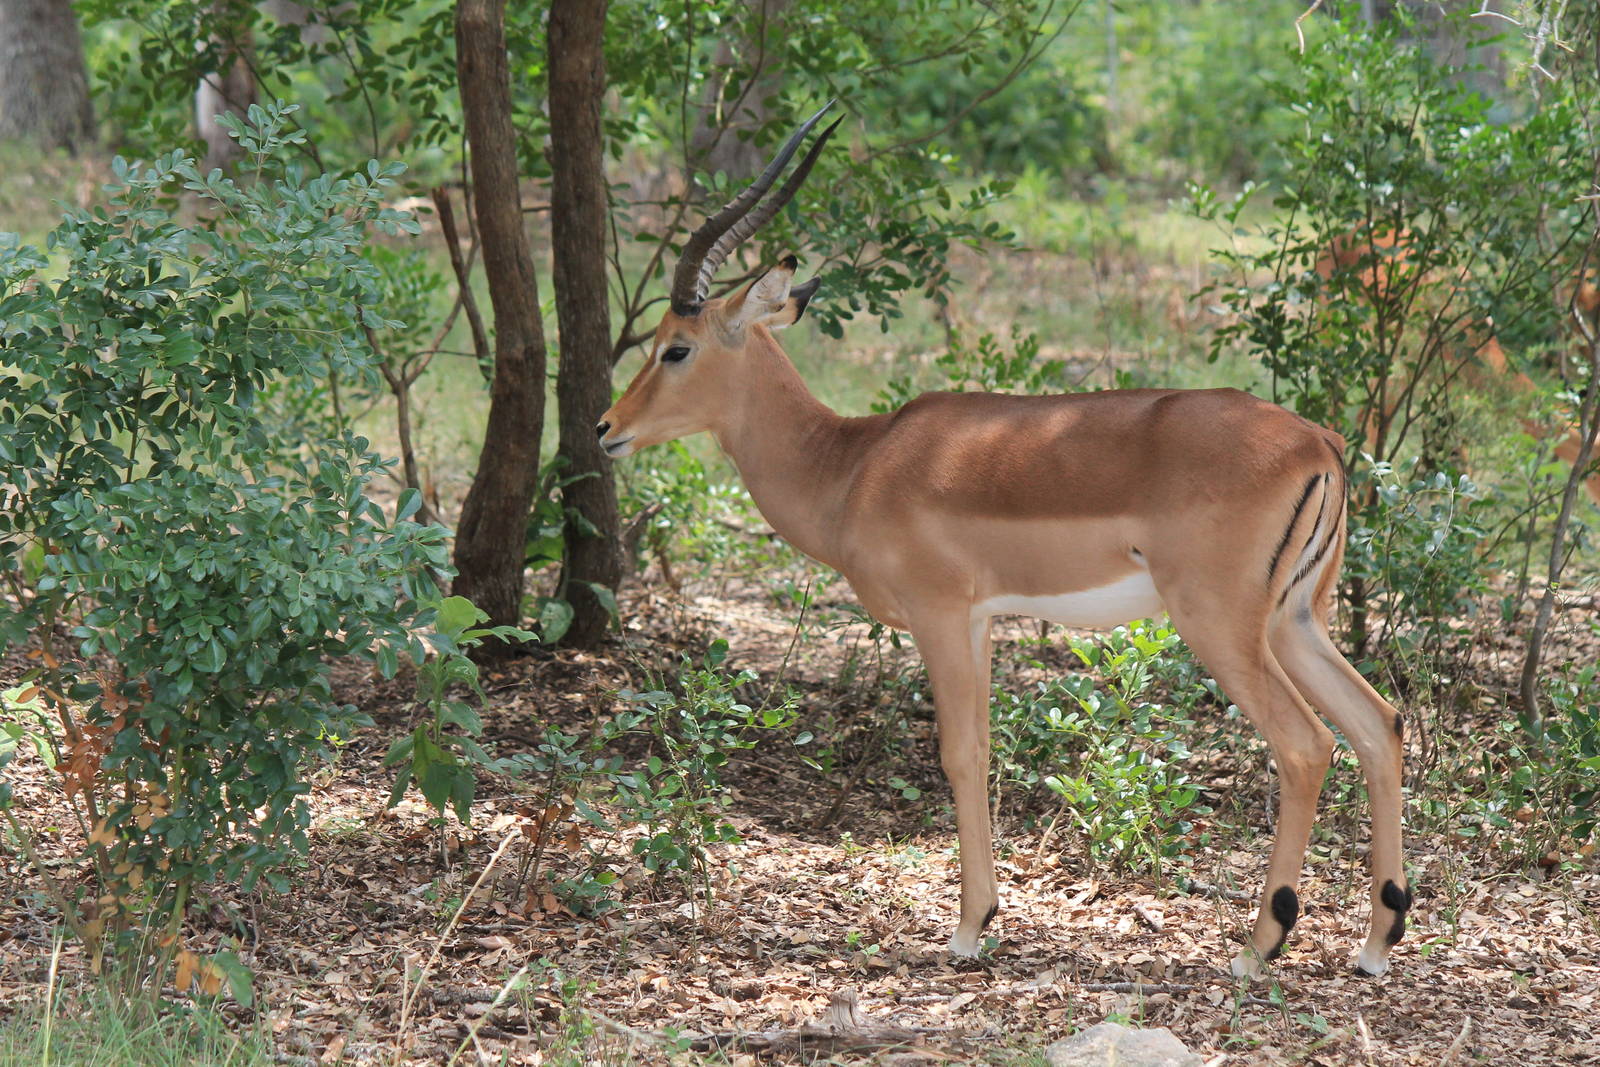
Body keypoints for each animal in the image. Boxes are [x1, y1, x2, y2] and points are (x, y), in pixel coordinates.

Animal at [599, 103, 1412, 978]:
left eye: (676, 346)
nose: (606, 427)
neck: (853, 463)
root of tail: (1317, 442)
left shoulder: (939, 614)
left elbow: (958, 753)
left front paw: (966, 928)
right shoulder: (983, 620)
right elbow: (985, 750)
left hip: (1222, 623)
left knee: (1306, 744)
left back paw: (1259, 946)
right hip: (1296, 620)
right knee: (1379, 723)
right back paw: (1376, 943)